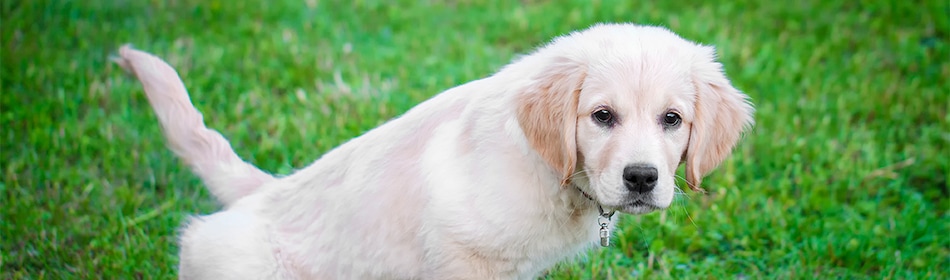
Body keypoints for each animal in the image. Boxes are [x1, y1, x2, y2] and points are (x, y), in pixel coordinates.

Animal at [117, 23, 760, 278]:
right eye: (602, 117)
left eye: (672, 120)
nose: (642, 178)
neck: (552, 173)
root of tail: (264, 192)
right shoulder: (460, 253)